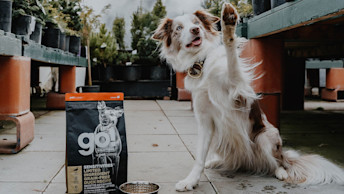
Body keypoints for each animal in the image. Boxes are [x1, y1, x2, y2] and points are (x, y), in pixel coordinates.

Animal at [153, 2, 344, 192]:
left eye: (196, 23)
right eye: (179, 28)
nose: (195, 30)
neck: (202, 63)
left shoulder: (237, 90)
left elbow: (232, 59)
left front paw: (228, 25)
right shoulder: (205, 121)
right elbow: (199, 157)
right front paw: (191, 180)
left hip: (266, 136)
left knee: (277, 162)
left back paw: (281, 171)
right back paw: (216, 161)